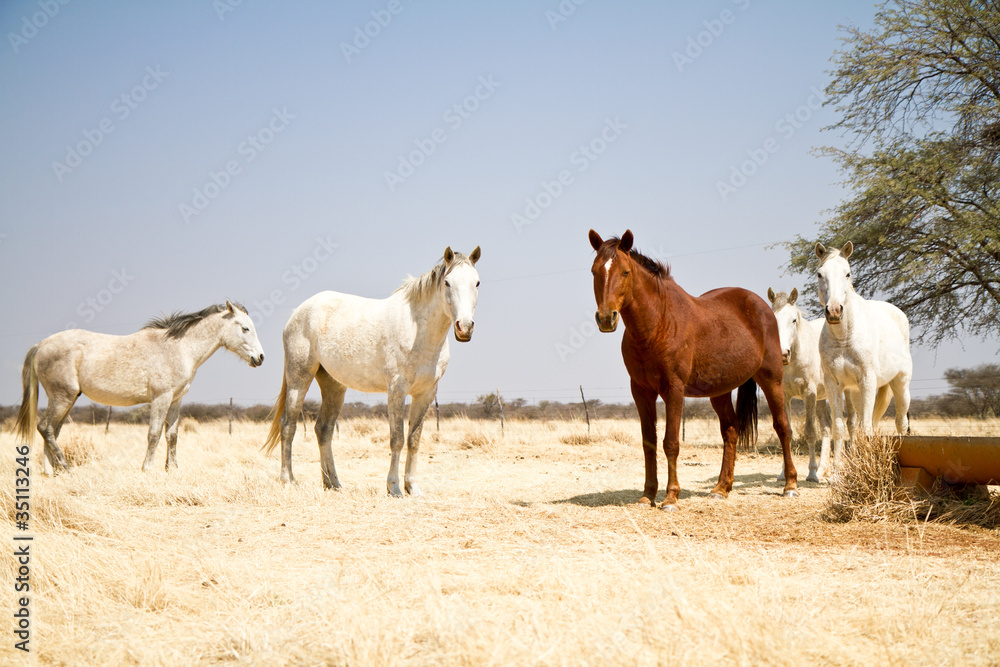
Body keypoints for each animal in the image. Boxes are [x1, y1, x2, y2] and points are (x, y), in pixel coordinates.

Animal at [13, 302, 264, 474]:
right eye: (245, 328)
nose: (260, 358)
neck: (179, 349)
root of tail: (41, 345)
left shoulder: (176, 400)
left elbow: (172, 435)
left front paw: (172, 469)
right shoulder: (161, 399)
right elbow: (154, 435)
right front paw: (148, 469)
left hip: (67, 399)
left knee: (52, 431)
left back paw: (51, 473)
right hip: (62, 398)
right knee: (45, 428)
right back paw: (65, 468)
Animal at [262, 246, 481, 496]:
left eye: (477, 283)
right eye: (447, 282)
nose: (464, 327)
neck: (417, 331)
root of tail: (297, 312)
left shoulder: (426, 393)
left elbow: (414, 439)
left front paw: (412, 488)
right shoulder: (396, 389)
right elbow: (397, 438)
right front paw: (394, 488)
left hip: (333, 385)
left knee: (323, 429)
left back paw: (333, 483)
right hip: (299, 378)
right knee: (288, 426)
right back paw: (288, 480)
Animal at [589, 230, 797, 510]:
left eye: (625, 272)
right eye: (594, 271)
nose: (605, 318)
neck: (658, 323)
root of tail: (760, 305)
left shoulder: (674, 389)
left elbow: (671, 442)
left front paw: (670, 497)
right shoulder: (641, 391)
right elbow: (649, 443)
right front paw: (647, 495)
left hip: (771, 378)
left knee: (782, 427)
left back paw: (790, 486)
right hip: (719, 391)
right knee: (731, 430)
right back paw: (721, 488)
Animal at [767, 287, 833, 482]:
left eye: (794, 320)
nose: (783, 354)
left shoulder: (809, 393)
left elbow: (810, 432)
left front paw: (811, 474)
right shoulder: (785, 396)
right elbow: (787, 432)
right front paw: (784, 473)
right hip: (822, 398)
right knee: (827, 427)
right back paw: (823, 469)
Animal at [815, 242, 912, 471]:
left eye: (848, 273)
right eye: (820, 274)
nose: (834, 311)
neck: (844, 338)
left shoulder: (868, 381)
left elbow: (866, 428)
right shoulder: (833, 384)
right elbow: (840, 428)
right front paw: (837, 471)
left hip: (900, 384)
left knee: (901, 423)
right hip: (856, 393)